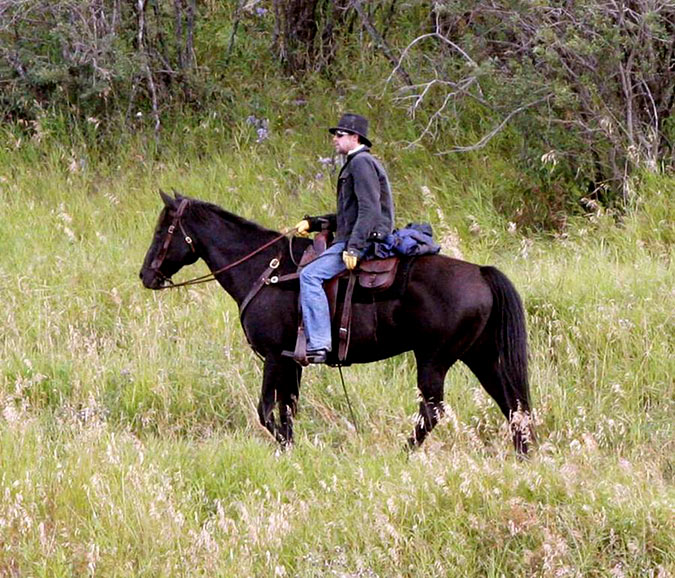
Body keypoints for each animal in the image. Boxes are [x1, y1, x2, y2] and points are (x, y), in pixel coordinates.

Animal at [140, 191, 536, 452]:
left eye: (162, 231)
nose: (146, 275)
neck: (265, 269)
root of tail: (481, 272)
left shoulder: (273, 357)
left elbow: (267, 412)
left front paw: (286, 448)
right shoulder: (291, 361)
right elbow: (288, 409)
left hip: (433, 360)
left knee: (434, 411)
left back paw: (403, 452)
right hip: (480, 356)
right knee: (512, 405)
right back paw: (522, 454)